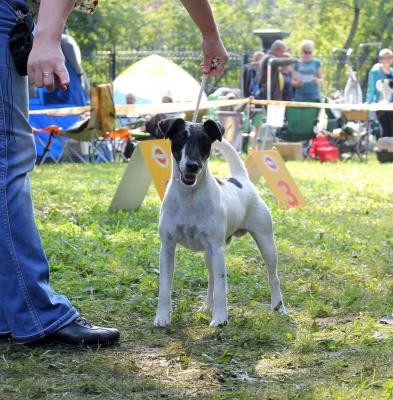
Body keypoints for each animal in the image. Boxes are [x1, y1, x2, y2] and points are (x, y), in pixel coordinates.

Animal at [153, 119, 284, 328]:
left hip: (266, 244)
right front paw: (162, 316)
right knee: (211, 281)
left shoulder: (217, 248)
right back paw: (207, 307)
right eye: (181, 137)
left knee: (273, 277)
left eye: (204, 141)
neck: (189, 197)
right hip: (209, 255)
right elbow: (165, 286)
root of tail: (241, 179)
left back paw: (279, 306)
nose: (193, 166)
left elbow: (222, 286)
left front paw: (221, 318)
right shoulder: (167, 248)